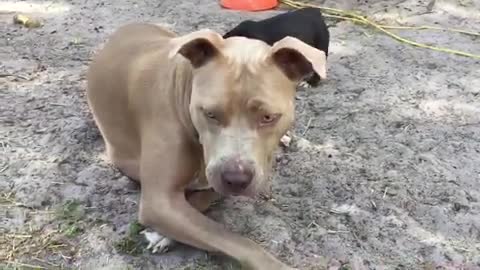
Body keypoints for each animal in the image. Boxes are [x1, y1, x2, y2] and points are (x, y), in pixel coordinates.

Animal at [87, 23, 326, 270]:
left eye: (268, 117)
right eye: (210, 114)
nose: (236, 179)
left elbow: (202, 201)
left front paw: (164, 234)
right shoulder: (159, 201)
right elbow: (234, 240)